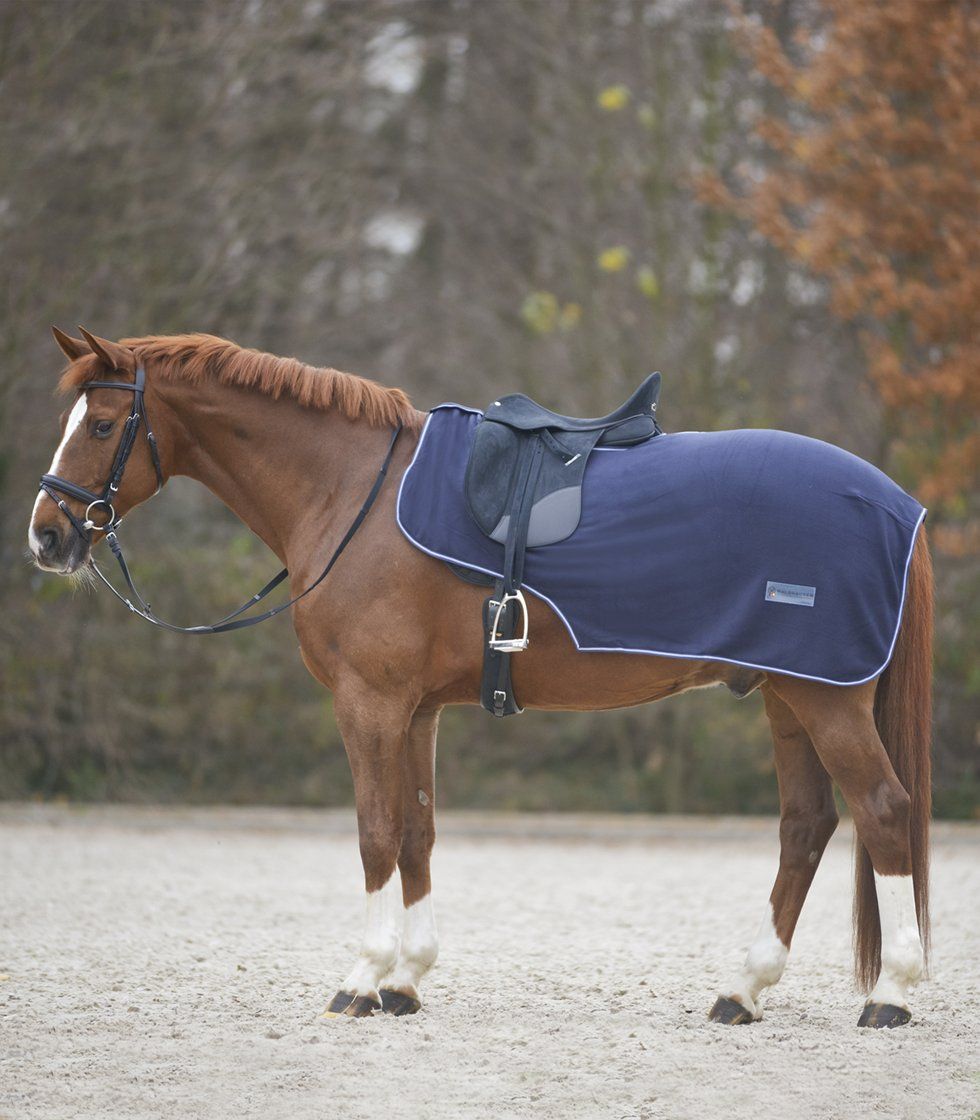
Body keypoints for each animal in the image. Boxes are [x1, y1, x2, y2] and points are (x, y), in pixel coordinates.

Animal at [28, 327, 932, 1028]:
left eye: (102, 424)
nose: (46, 536)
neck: (351, 491)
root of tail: (896, 504)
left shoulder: (368, 703)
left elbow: (375, 833)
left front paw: (361, 979)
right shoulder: (417, 710)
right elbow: (417, 833)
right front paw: (405, 980)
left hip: (826, 700)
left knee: (884, 812)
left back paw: (890, 995)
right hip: (786, 696)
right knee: (806, 828)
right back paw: (742, 991)